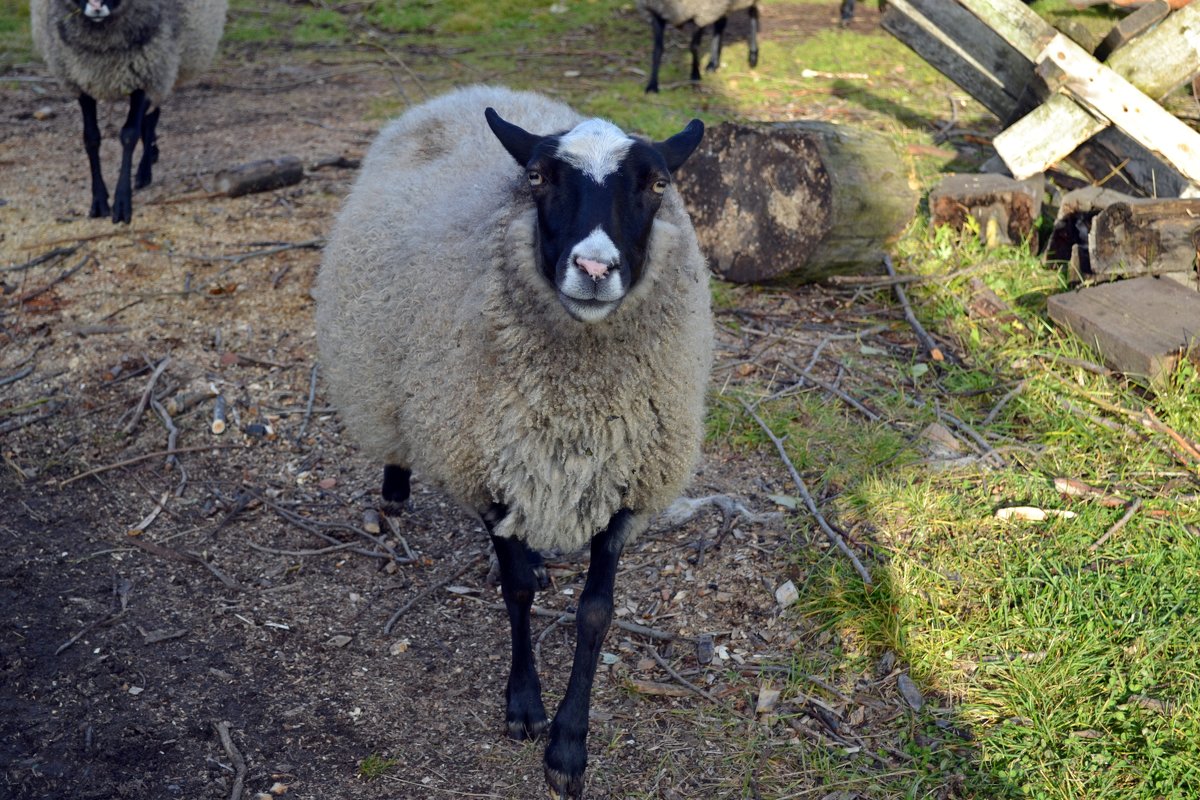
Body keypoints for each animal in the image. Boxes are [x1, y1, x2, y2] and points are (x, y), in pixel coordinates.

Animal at [29, 0, 226, 221]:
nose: (96, 7)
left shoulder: (145, 75)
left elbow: (129, 135)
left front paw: (122, 203)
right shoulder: (80, 79)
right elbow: (91, 138)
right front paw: (99, 201)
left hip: (161, 72)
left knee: (151, 118)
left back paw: (144, 171)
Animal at [314, 84, 715, 796]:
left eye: (657, 183)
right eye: (536, 178)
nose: (593, 266)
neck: (580, 400)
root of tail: (474, 93)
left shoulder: (628, 483)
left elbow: (596, 611)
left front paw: (569, 744)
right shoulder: (486, 466)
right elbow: (516, 590)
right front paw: (525, 704)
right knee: (399, 443)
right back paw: (395, 490)